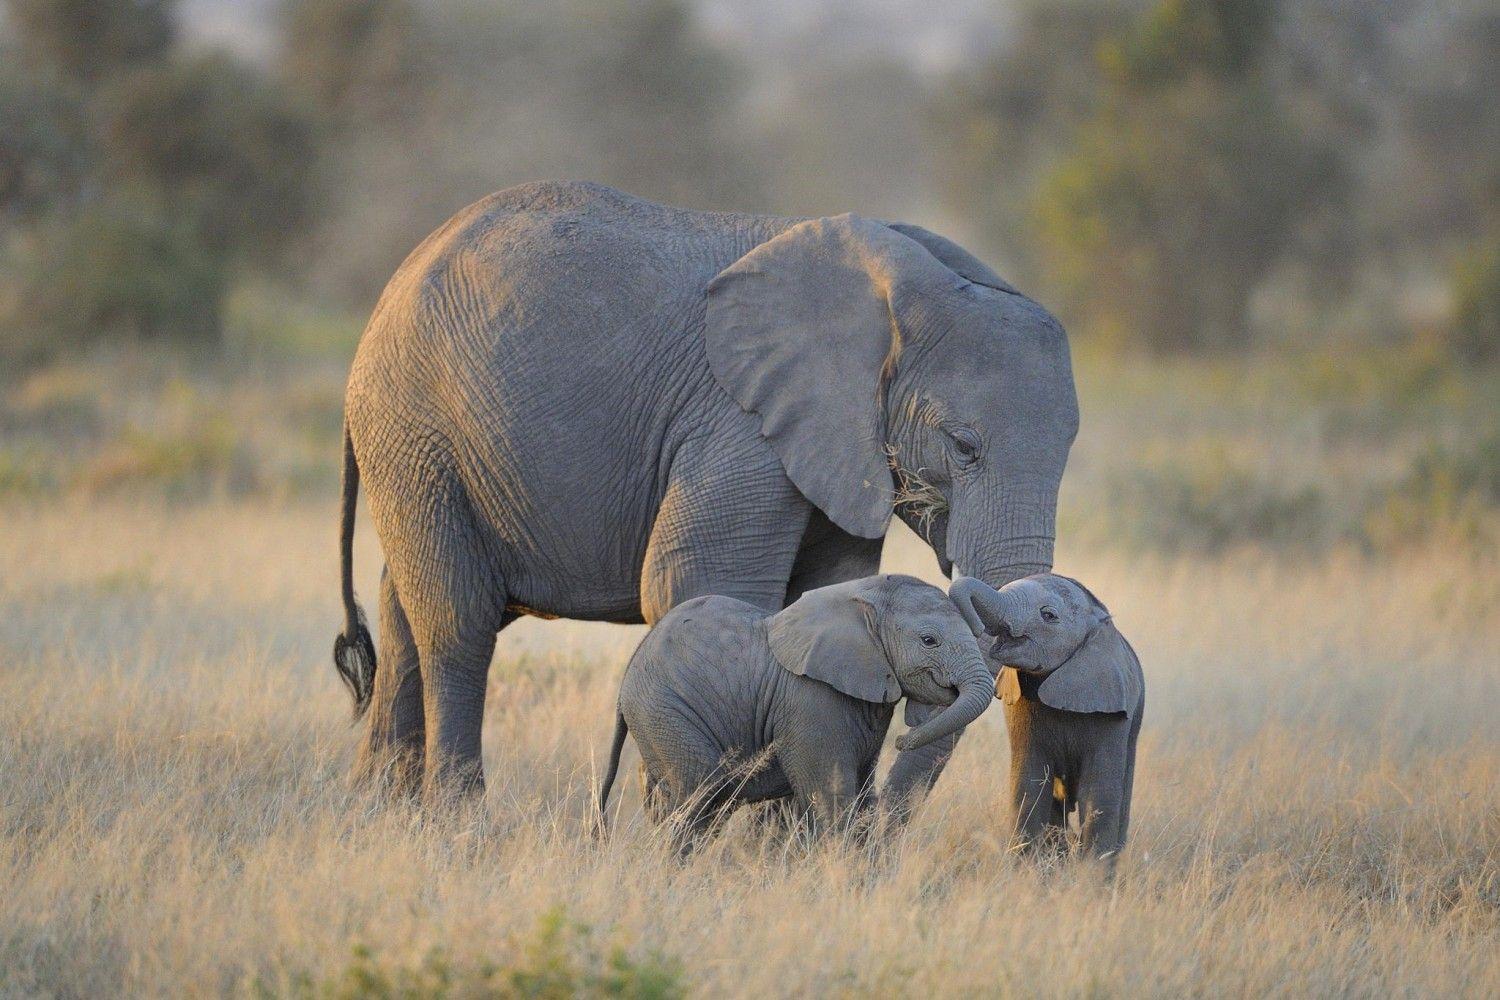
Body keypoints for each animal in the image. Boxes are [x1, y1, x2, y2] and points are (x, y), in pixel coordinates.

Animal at [331, 180, 1079, 801]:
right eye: (963, 446)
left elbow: (823, 593)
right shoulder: (738, 423)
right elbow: (698, 583)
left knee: (404, 610)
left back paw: (380, 814)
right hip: (415, 429)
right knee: (457, 623)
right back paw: (458, 820)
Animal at [596, 575, 996, 842]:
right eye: (929, 641)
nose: (902, 741)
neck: (862, 597)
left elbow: (862, 795)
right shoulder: (811, 702)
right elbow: (832, 797)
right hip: (665, 711)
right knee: (701, 793)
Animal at [949, 574, 1144, 863]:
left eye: (1048, 615)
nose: (975, 628)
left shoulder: (1112, 711)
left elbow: (1098, 793)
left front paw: (1091, 875)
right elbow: (1029, 784)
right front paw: (1026, 868)